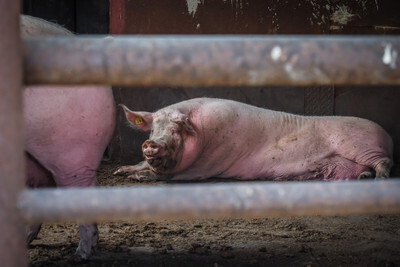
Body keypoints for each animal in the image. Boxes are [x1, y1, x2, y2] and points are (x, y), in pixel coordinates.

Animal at [114, 98, 392, 182]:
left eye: (175, 131)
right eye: (152, 130)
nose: (151, 144)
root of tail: (387, 135)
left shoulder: (206, 166)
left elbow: (170, 176)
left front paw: (139, 177)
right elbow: (140, 164)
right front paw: (120, 171)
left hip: (364, 147)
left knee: (385, 161)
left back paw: (380, 178)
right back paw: (364, 177)